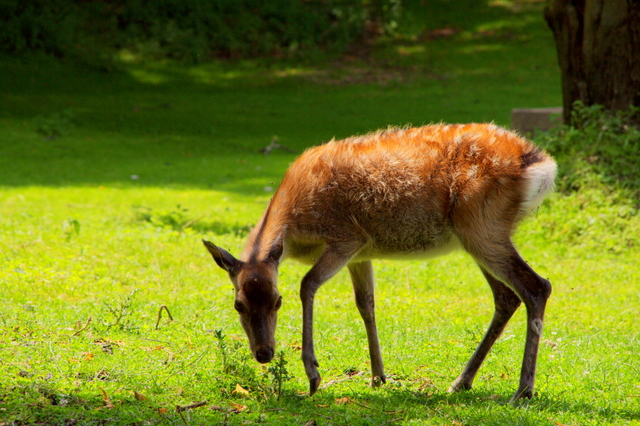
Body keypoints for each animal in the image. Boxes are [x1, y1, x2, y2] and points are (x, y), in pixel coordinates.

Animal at [204, 121, 556, 402]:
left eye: (278, 301)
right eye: (238, 304)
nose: (264, 353)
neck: (295, 226)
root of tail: (543, 166)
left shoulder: (347, 239)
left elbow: (307, 285)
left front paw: (313, 374)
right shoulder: (360, 255)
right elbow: (366, 304)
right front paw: (378, 375)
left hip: (482, 227)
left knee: (537, 286)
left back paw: (523, 390)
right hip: (481, 236)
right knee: (506, 296)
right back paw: (461, 382)